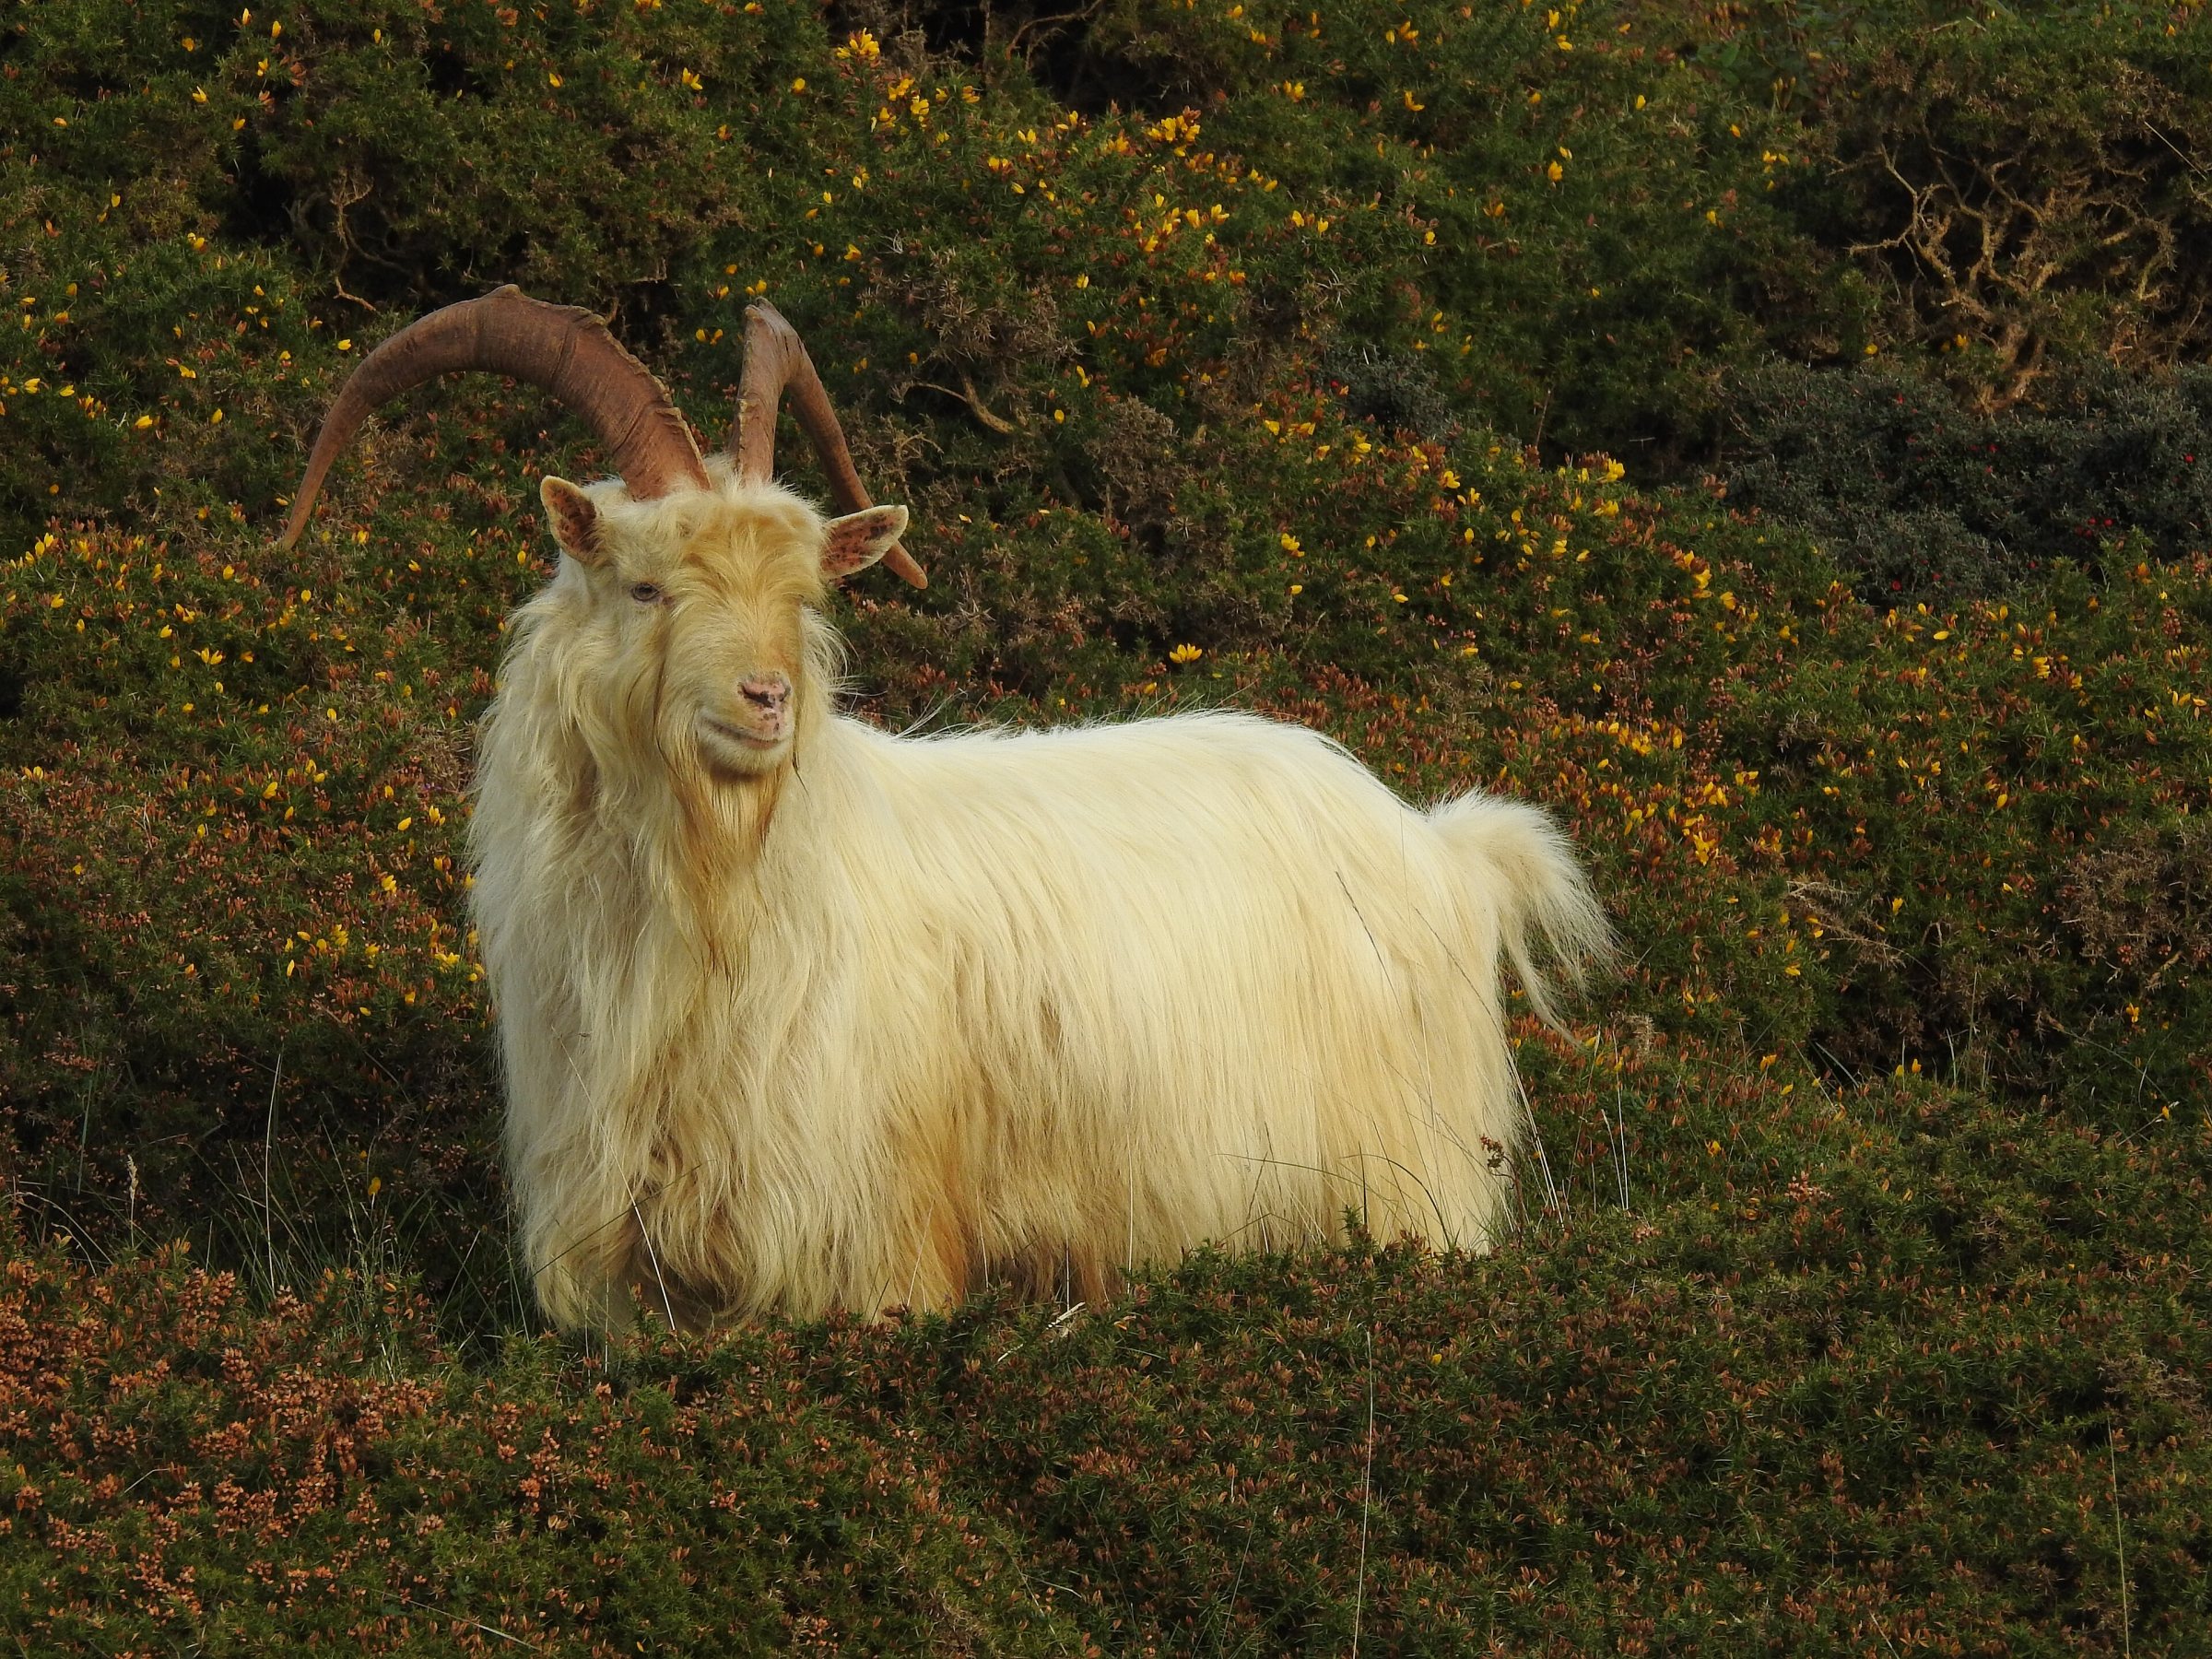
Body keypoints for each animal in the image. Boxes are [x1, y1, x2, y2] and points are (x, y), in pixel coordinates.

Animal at [283, 285, 1612, 1332]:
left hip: (1407, 1191)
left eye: (806, 592)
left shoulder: (877, 1239)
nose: (767, 700)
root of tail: (1441, 842)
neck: (731, 891)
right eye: (645, 584)